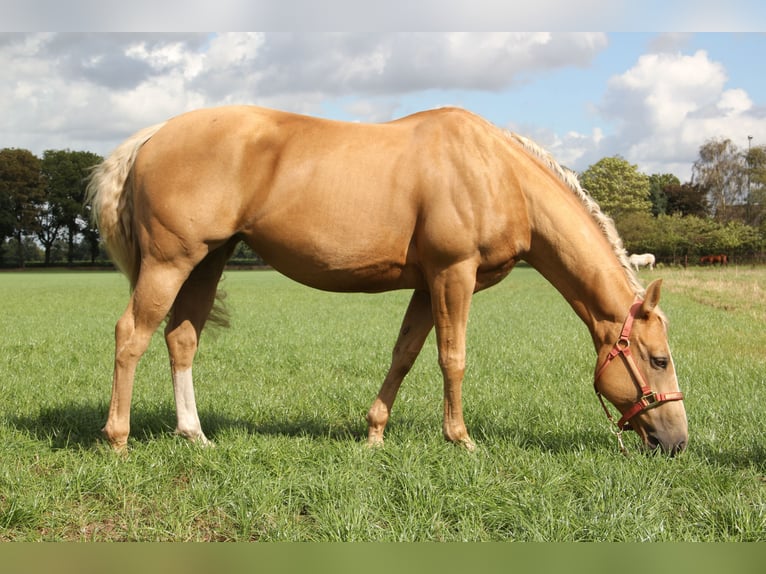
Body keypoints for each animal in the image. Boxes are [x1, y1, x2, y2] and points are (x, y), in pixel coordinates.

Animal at [86, 106, 688, 455]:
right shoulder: (453, 274)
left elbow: (405, 354)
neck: (497, 172)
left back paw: (194, 434)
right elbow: (452, 357)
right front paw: (461, 439)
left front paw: (375, 432)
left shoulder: (428, 284)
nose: (677, 441)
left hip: (207, 261)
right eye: (659, 359)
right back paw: (118, 440)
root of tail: (153, 135)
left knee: (181, 339)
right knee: (130, 336)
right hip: (169, 262)